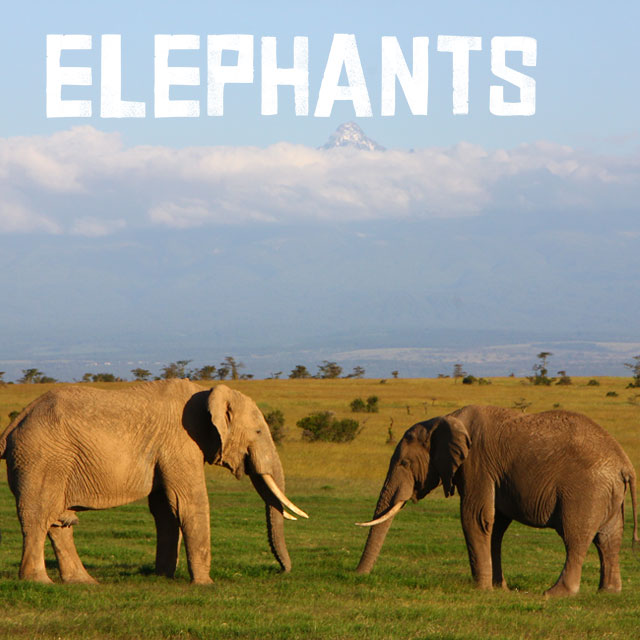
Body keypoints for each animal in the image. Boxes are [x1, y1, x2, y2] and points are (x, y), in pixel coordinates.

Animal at [0, 380, 308, 584]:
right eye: (258, 431)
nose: (281, 571)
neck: (206, 393)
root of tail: (14, 424)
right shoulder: (179, 442)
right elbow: (188, 503)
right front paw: (205, 585)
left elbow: (165, 509)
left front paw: (163, 576)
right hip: (41, 457)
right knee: (39, 517)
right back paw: (38, 582)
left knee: (59, 521)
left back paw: (84, 583)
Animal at [356, 405, 638, 596]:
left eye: (404, 463)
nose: (358, 575)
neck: (444, 419)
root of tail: (625, 465)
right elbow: (495, 526)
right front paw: (498, 587)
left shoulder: (477, 463)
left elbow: (475, 517)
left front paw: (481, 589)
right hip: (608, 494)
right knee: (608, 539)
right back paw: (608, 592)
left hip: (585, 493)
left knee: (575, 538)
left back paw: (554, 594)